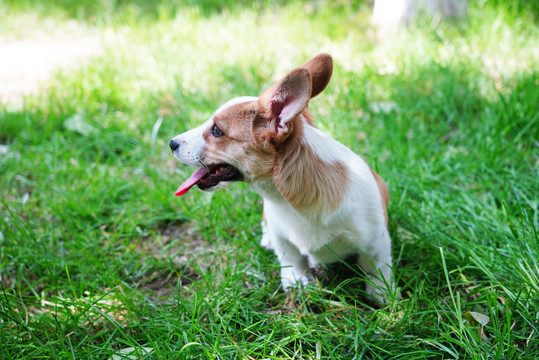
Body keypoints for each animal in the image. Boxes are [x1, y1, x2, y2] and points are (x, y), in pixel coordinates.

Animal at [171, 53, 394, 302]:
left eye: (217, 131)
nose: (171, 143)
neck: (290, 201)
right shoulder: (282, 236)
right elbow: (291, 258)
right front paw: (297, 281)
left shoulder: (376, 242)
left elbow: (377, 271)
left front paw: (381, 296)